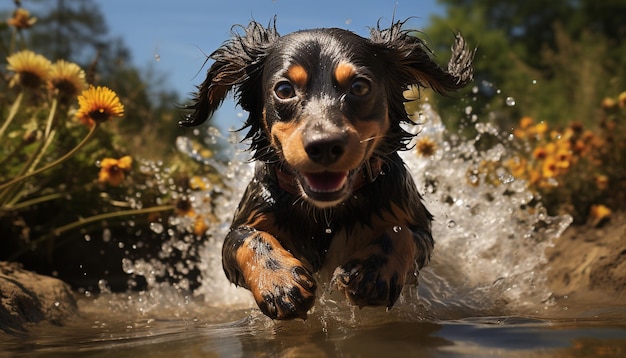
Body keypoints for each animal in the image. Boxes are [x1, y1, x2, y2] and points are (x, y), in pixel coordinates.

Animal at [183, 19, 470, 318]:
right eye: (284, 90)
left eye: (359, 86)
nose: (324, 145)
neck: (325, 214)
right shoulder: (246, 221)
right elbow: (246, 238)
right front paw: (279, 282)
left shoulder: (418, 225)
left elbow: (402, 233)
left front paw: (372, 272)